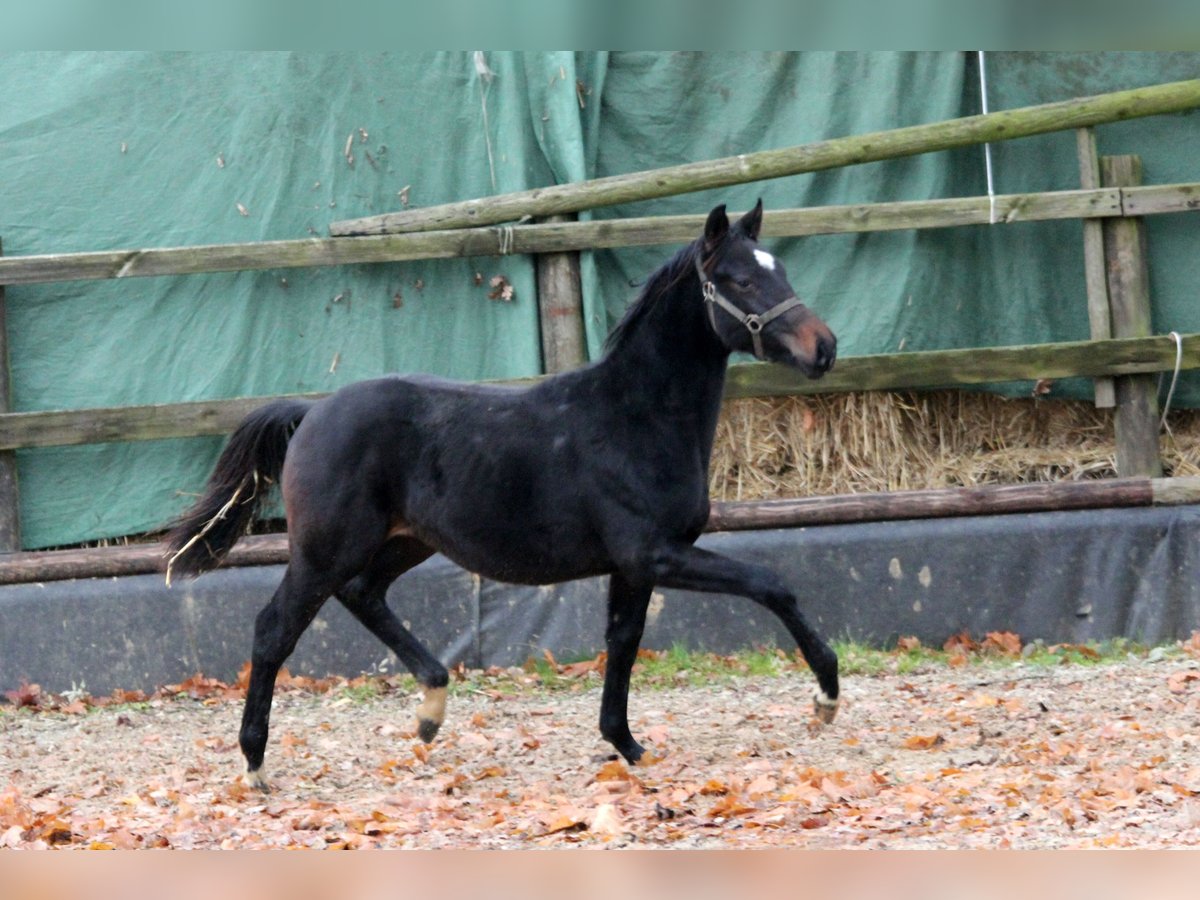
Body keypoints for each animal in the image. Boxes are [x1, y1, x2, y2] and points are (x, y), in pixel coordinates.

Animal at [164, 202, 840, 787]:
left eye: (780, 270)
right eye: (739, 279)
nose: (824, 347)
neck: (635, 418)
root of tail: (310, 414)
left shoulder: (634, 566)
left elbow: (623, 643)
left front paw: (626, 745)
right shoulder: (655, 553)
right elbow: (770, 583)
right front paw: (825, 697)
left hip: (405, 542)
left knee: (363, 594)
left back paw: (431, 708)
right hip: (325, 549)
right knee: (274, 629)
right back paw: (255, 763)